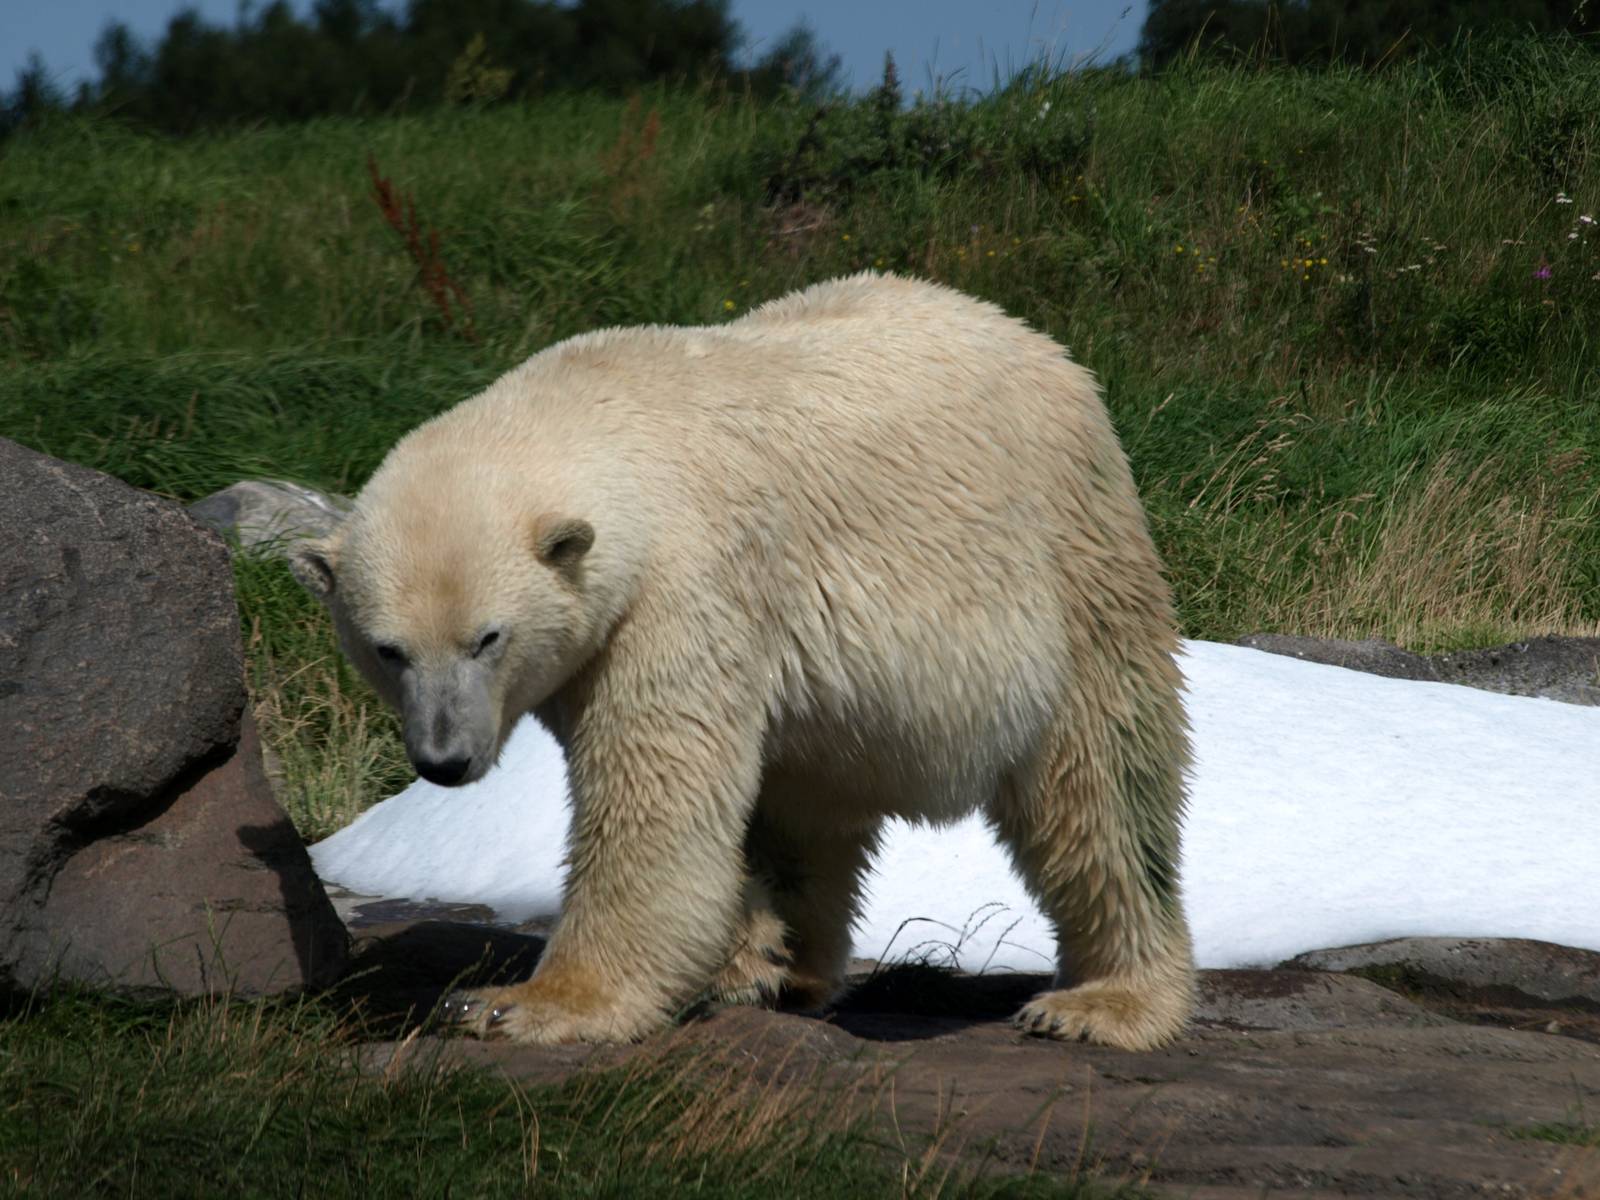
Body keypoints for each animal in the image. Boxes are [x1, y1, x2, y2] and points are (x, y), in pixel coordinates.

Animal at [290, 272, 1195, 1050]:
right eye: (388, 650)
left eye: (488, 637)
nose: (444, 761)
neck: (612, 418)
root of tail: (1044, 345)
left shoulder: (683, 589)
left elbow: (652, 798)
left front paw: (520, 1005)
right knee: (803, 807)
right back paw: (775, 965)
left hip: (1071, 558)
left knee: (1103, 786)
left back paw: (1102, 1002)